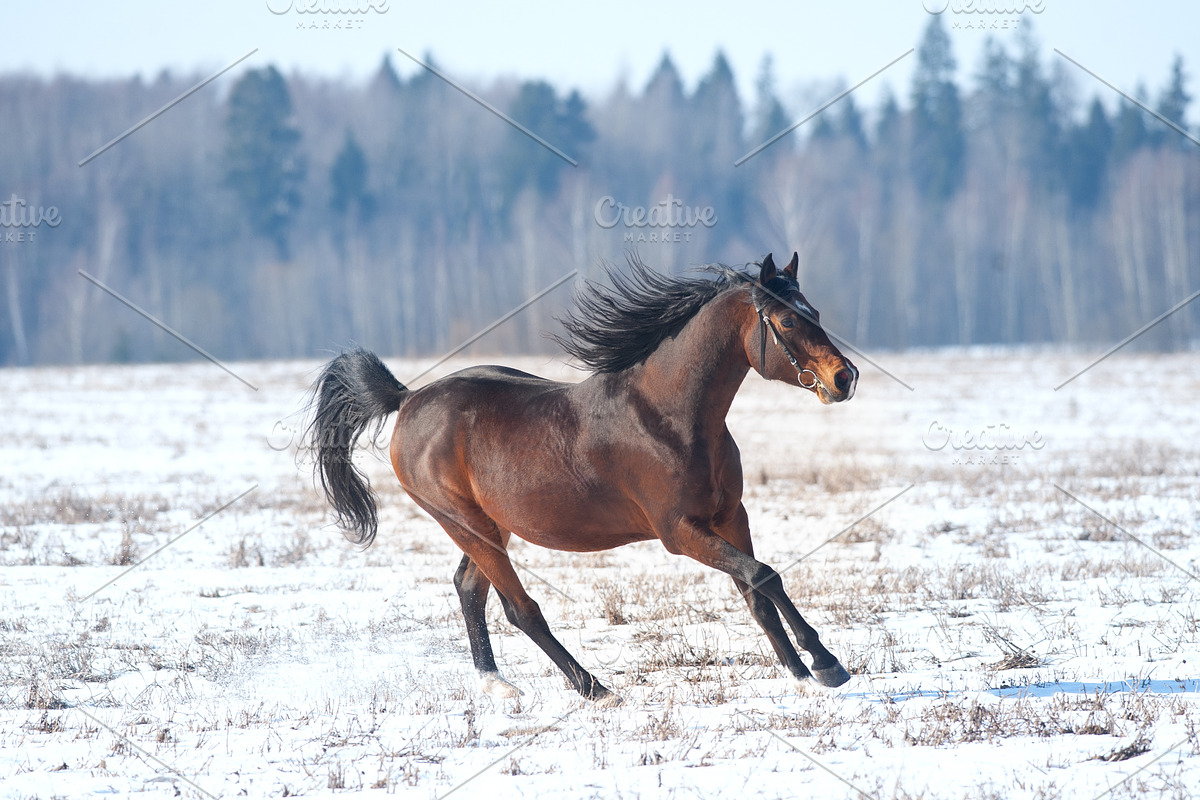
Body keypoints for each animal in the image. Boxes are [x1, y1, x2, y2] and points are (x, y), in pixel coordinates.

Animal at [306, 252, 859, 705]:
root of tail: (407, 398)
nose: (844, 378)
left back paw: (498, 684)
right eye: (787, 319)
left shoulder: (729, 516)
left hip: (489, 525)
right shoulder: (680, 532)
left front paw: (803, 672)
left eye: (815, 313)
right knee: (519, 608)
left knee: (469, 587)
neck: (669, 416)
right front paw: (826, 664)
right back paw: (593, 687)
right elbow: (763, 575)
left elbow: (758, 591)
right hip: (464, 523)